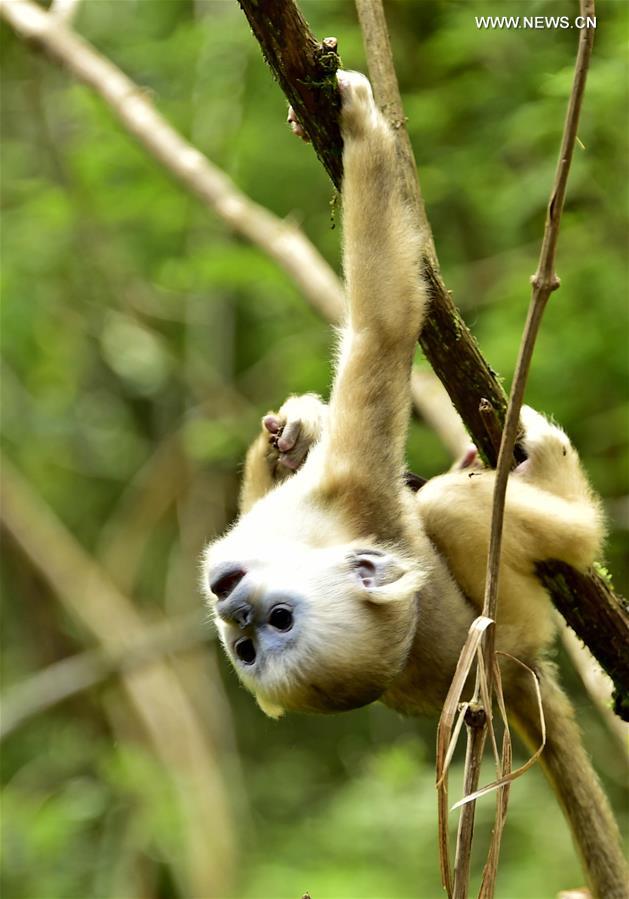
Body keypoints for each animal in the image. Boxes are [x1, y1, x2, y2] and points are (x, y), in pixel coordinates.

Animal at [204, 72, 624, 899]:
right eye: (246, 649)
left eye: (275, 624)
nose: (232, 612)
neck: (319, 534)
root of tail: (512, 672)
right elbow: (389, 324)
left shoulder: (355, 481)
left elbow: (386, 324)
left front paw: (356, 129)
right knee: (465, 508)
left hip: (511, 614)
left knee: (468, 510)